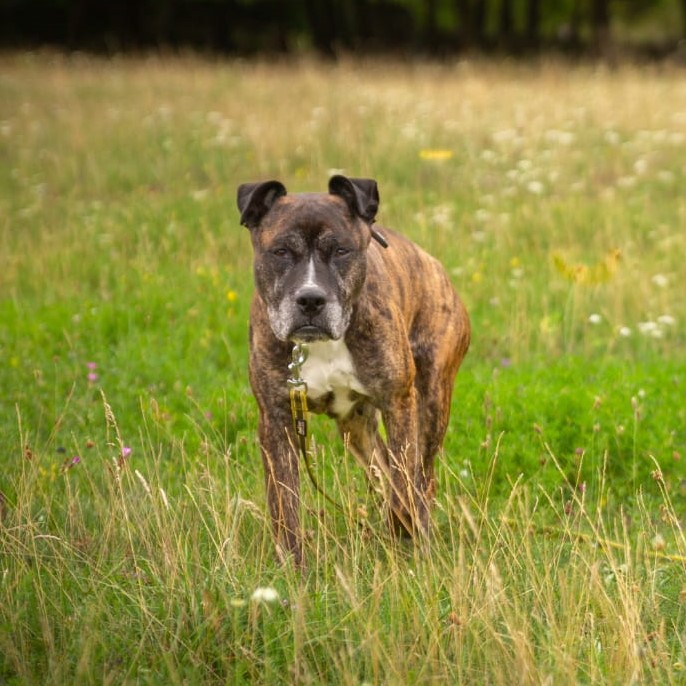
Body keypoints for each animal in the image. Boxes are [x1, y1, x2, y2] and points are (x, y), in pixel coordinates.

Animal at [237, 175, 470, 567]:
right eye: (280, 252)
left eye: (341, 251)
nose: (311, 299)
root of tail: (436, 266)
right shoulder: (275, 418)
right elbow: (285, 501)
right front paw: (292, 565)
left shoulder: (399, 402)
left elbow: (405, 481)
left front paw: (407, 538)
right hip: (356, 429)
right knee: (385, 469)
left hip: (432, 404)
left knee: (421, 479)